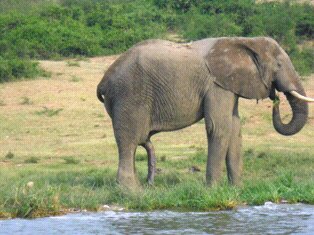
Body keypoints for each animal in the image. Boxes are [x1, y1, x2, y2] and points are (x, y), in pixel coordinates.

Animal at [97, 37, 312, 189]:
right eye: (279, 65)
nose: (275, 98)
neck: (245, 42)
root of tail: (104, 80)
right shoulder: (216, 85)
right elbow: (219, 127)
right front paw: (213, 190)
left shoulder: (229, 84)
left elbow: (234, 129)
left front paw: (237, 190)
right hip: (128, 96)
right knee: (129, 142)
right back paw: (131, 192)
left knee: (135, 143)